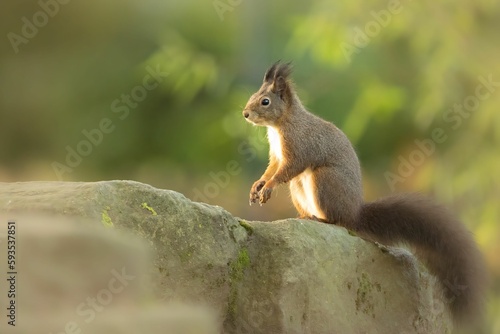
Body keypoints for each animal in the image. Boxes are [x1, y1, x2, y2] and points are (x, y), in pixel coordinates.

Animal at [242, 61, 484, 324]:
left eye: (265, 101)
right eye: (254, 96)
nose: (245, 114)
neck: (281, 125)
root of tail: (354, 213)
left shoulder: (300, 147)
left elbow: (287, 169)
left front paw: (269, 187)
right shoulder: (277, 155)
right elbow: (271, 169)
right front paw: (258, 185)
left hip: (324, 180)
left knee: (337, 220)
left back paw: (321, 219)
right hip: (299, 188)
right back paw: (304, 216)